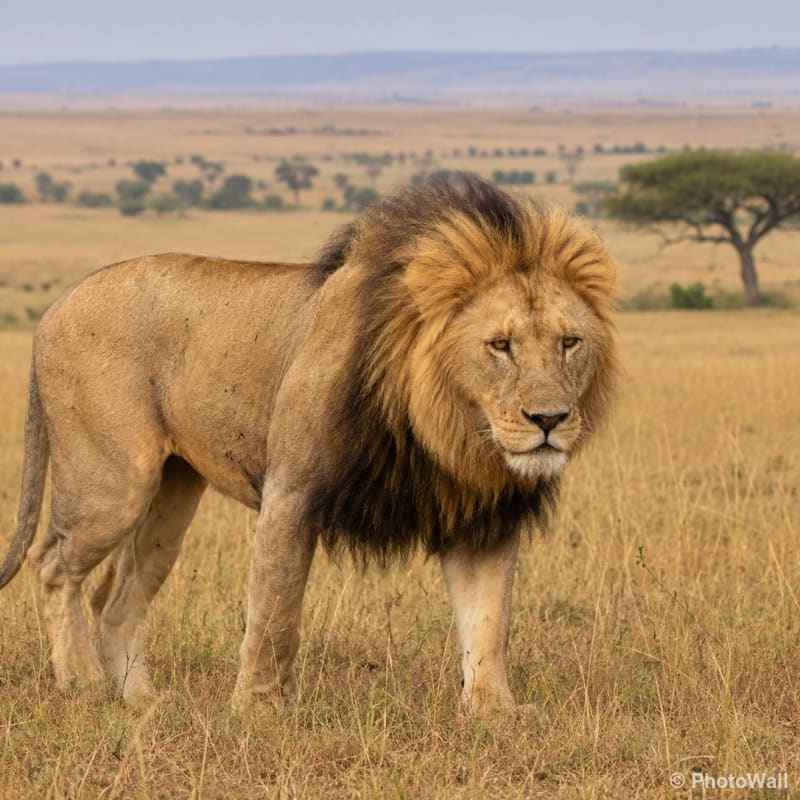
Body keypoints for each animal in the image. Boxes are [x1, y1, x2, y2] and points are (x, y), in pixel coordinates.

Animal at [0, 175, 617, 716]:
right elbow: (275, 613)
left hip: (170, 497)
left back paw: (142, 702)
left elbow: (488, 622)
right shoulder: (292, 491)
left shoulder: (481, 518)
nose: (549, 419)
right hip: (115, 485)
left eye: (569, 342)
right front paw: (259, 711)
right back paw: (82, 684)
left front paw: (496, 712)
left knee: (115, 599)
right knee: (52, 565)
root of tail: (55, 307)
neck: (450, 434)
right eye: (500, 345)